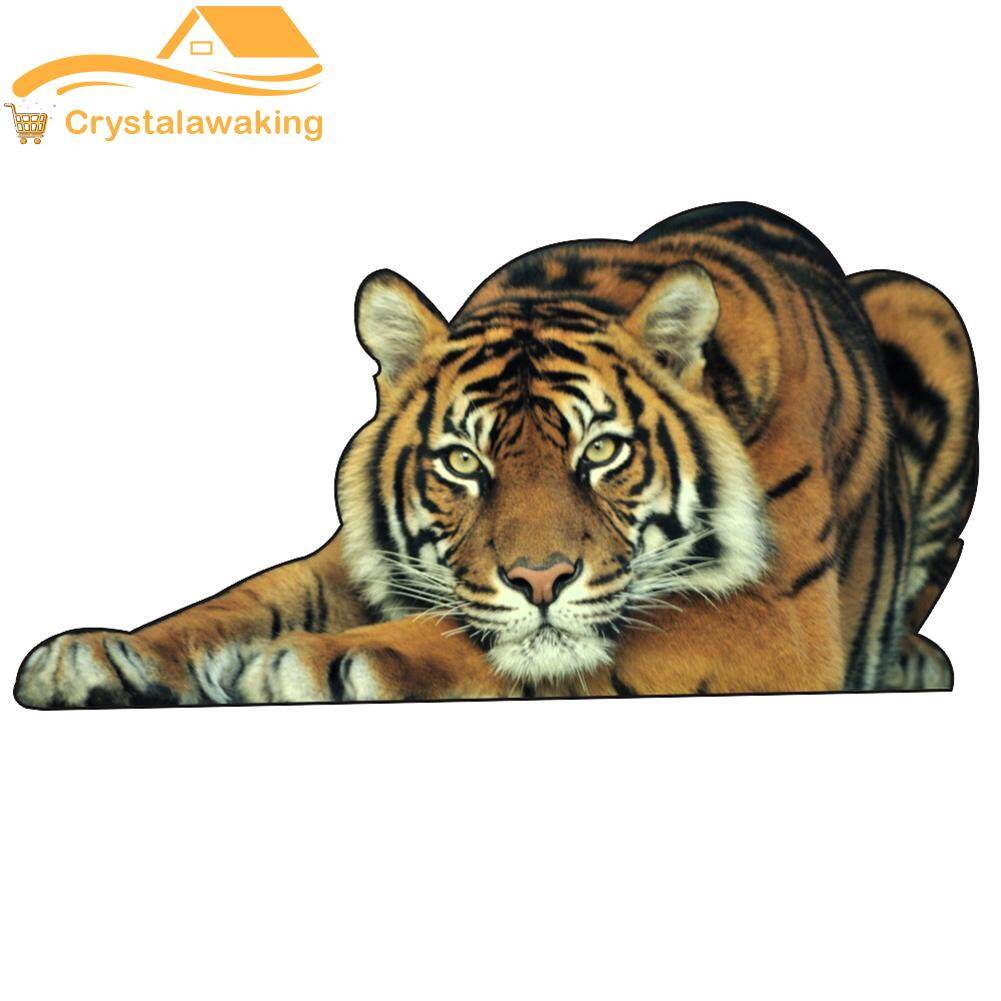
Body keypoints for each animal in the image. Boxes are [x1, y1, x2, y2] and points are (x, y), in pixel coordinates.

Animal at [14, 202, 978, 708]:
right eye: (463, 464)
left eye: (602, 451)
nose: (539, 577)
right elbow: (243, 599)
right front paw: (96, 655)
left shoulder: (771, 618)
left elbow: (509, 638)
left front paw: (317, 662)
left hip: (925, 307)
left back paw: (914, 662)